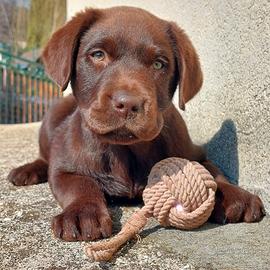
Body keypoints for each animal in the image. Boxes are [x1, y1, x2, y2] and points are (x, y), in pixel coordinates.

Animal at [7, 6, 264, 240]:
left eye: (159, 64)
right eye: (98, 55)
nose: (128, 103)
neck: (125, 150)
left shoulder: (196, 153)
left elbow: (213, 172)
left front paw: (235, 194)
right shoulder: (64, 167)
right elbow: (80, 184)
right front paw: (82, 213)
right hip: (51, 119)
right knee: (45, 156)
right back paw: (27, 171)